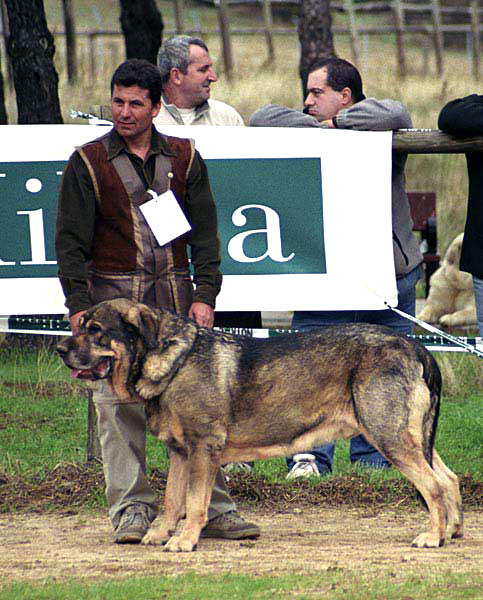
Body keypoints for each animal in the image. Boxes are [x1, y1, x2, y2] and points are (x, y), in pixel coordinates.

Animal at [57, 298, 466, 552]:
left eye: (96, 330)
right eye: (81, 325)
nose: (61, 349)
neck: (172, 360)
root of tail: (418, 348)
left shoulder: (203, 448)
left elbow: (195, 502)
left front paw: (185, 541)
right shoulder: (179, 452)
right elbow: (172, 501)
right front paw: (159, 535)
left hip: (389, 435)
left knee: (432, 486)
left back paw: (432, 537)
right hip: (412, 436)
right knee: (448, 479)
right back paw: (453, 530)